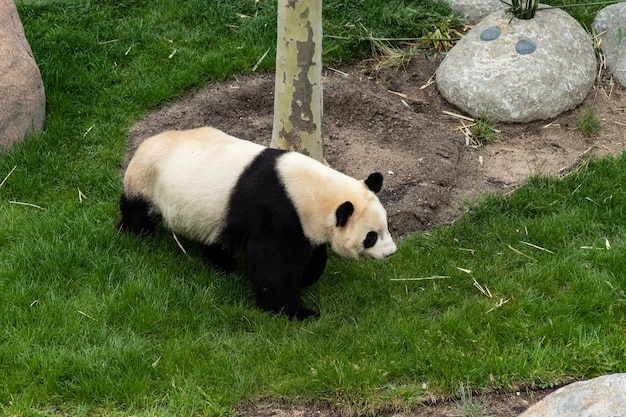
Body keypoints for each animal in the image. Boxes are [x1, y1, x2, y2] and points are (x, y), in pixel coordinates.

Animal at [118, 127, 394, 318]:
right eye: (371, 236)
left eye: (387, 227)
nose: (391, 253)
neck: (313, 192)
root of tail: (147, 141)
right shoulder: (277, 212)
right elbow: (271, 269)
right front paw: (299, 312)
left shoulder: (303, 223)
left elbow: (311, 254)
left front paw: (306, 277)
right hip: (146, 178)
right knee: (136, 209)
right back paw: (136, 232)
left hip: (211, 213)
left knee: (216, 238)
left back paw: (222, 264)